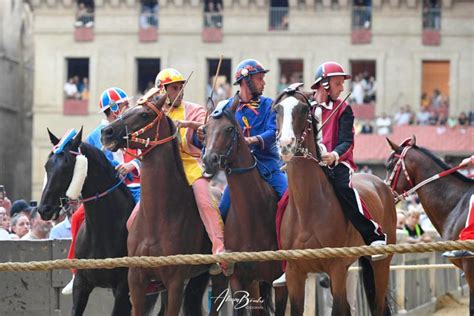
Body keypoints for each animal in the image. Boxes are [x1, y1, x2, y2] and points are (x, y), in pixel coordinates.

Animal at [100, 92, 226, 316]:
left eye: (144, 114)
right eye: (128, 109)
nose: (107, 132)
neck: (158, 217)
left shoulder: (175, 281)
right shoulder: (137, 280)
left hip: (217, 277)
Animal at [274, 85, 396, 314]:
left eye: (303, 109)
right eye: (277, 109)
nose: (285, 144)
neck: (307, 209)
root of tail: (382, 184)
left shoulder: (337, 269)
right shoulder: (295, 273)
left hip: (380, 266)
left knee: (378, 306)